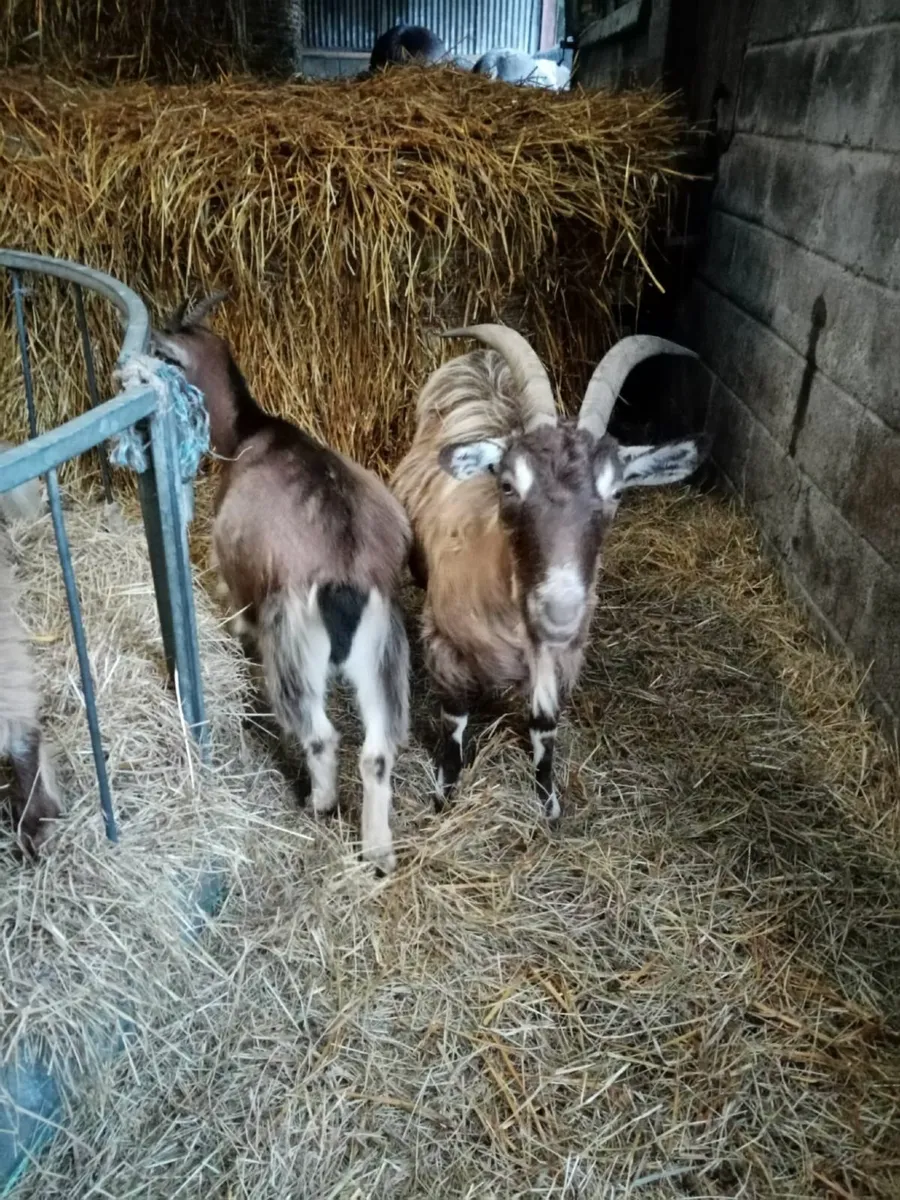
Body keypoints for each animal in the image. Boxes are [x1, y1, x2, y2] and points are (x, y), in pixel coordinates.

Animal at [151, 298, 411, 874]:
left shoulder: (237, 580)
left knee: (320, 735)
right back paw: (378, 851)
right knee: (378, 752)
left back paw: (320, 803)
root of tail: (344, 577)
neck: (252, 431)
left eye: (164, 355)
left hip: (293, 644)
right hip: (382, 649)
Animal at [392, 325, 702, 819]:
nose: (560, 610)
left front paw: (548, 802)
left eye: (617, 491)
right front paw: (444, 792)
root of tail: (483, 360)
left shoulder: (561, 661)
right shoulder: (446, 647)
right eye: (507, 484)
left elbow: (544, 724)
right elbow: (454, 719)